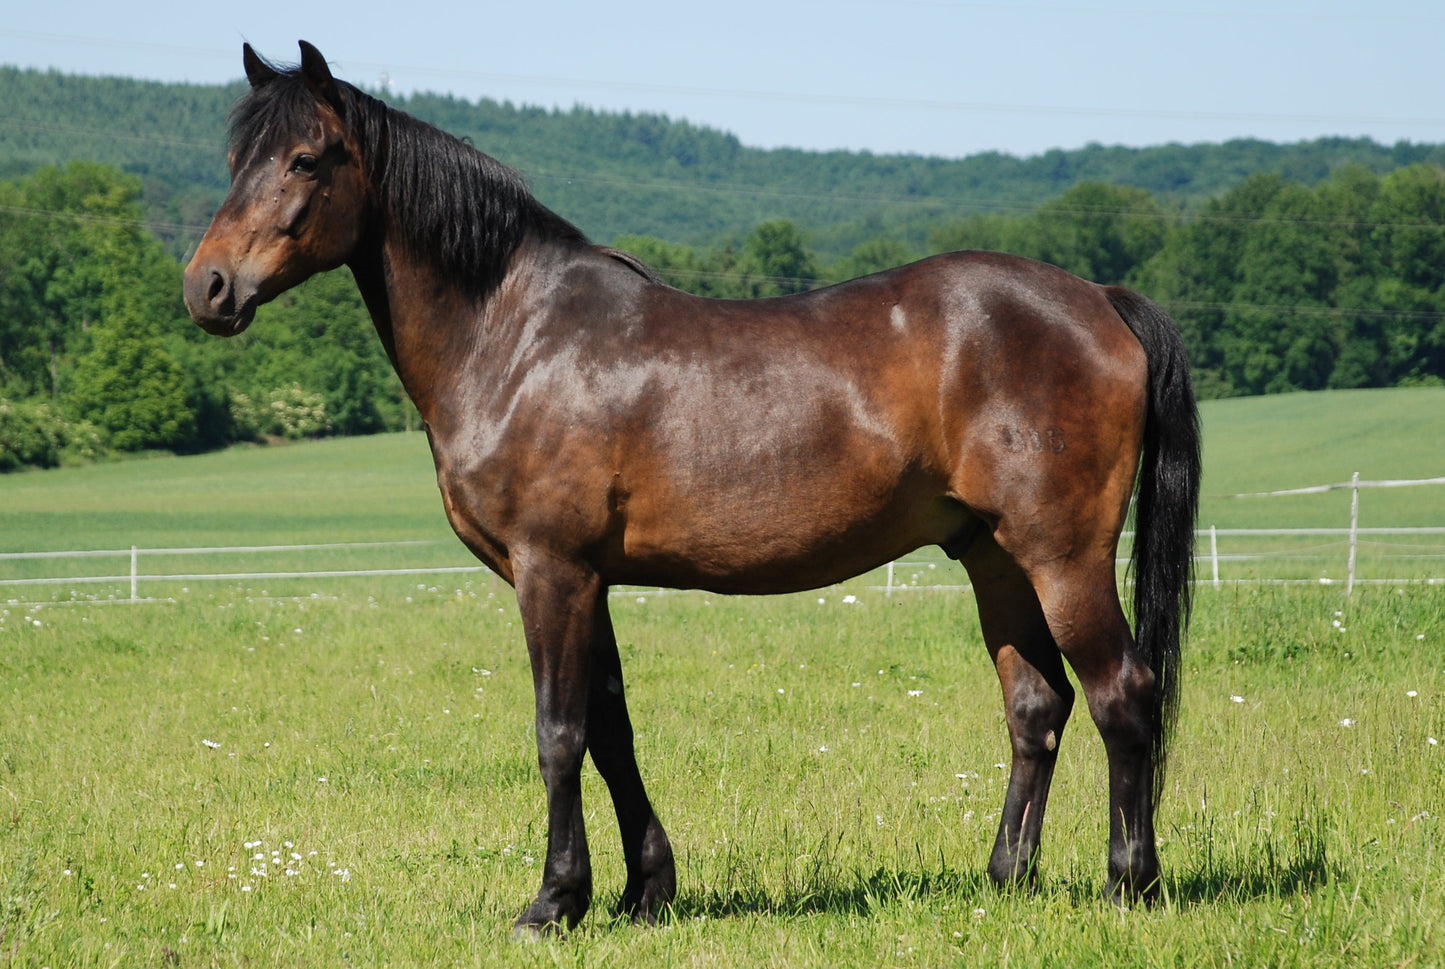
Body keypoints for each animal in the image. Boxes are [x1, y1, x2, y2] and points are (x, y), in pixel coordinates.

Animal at [183, 41, 1196, 935]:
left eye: (306, 158)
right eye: (236, 160)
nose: (208, 288)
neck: (517, 336)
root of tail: (1100, 299)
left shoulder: (550, 570)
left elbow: (558, 732)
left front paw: (551, 903)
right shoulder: (588, 578)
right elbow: (610, 726)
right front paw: (643, 891)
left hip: (1062, 556)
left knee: (1121, 694)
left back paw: (1129, 884)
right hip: (992, 556)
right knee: (1037, 705)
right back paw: (1004, 877)